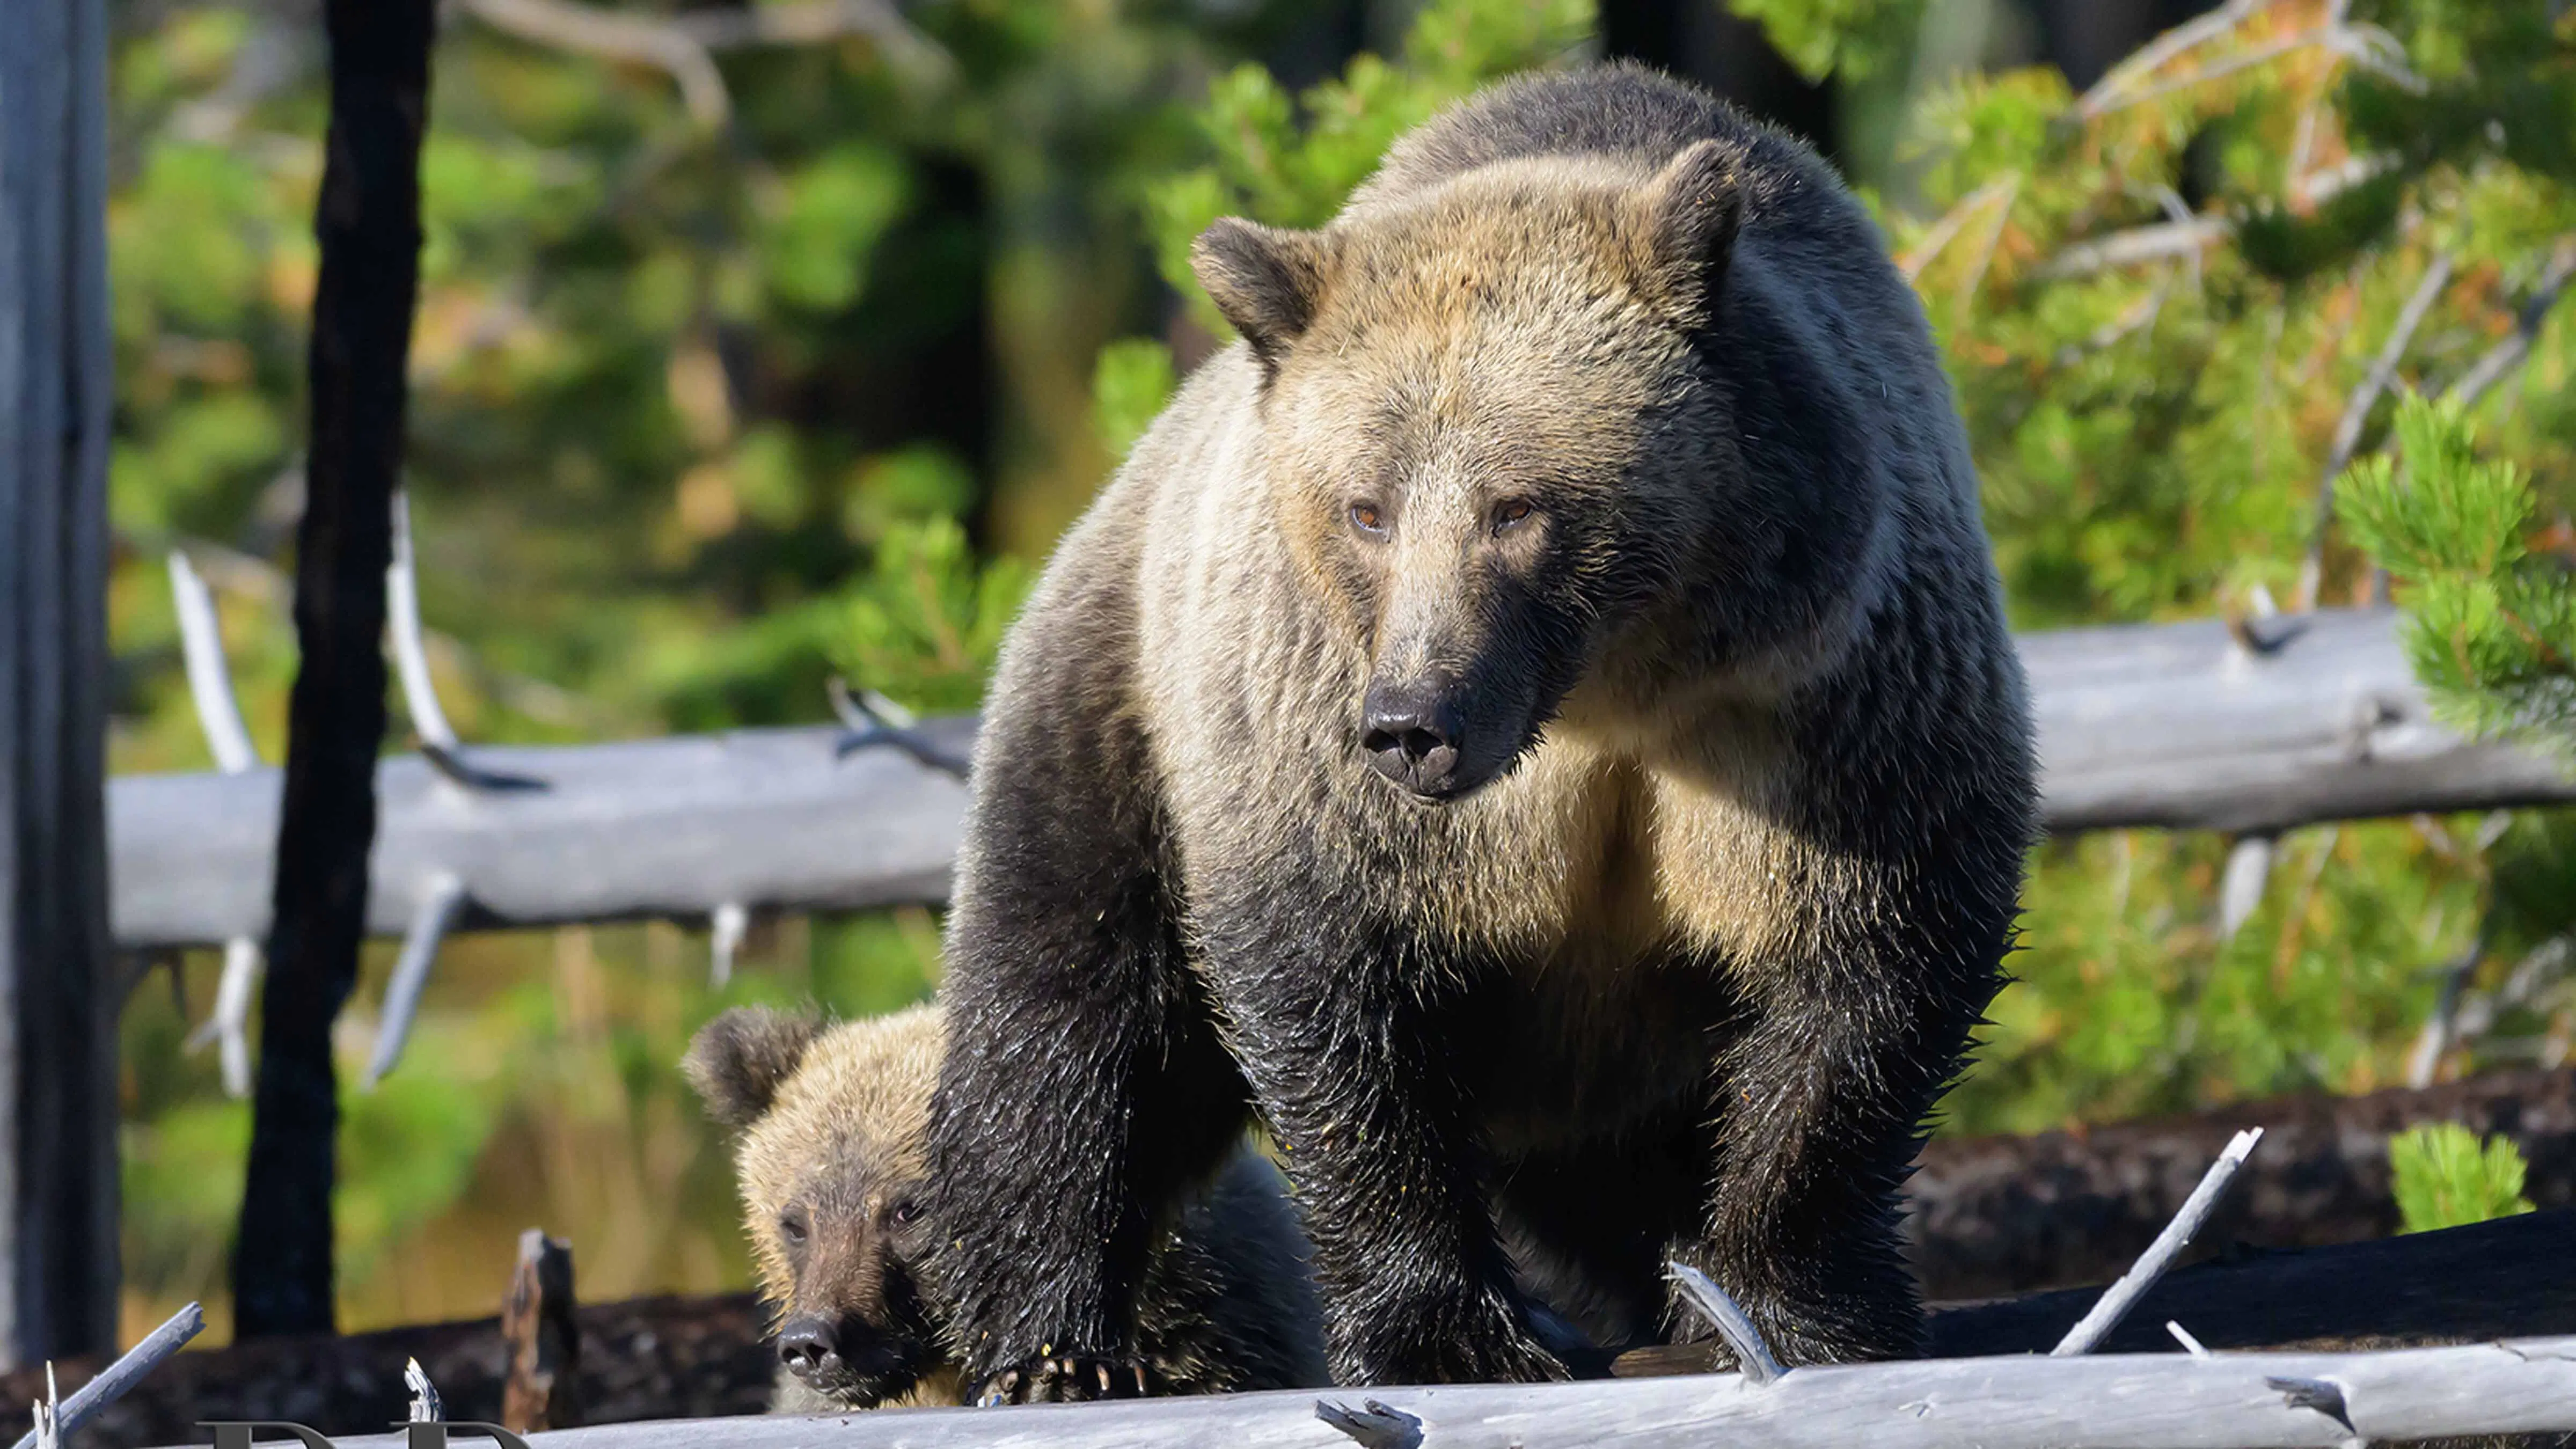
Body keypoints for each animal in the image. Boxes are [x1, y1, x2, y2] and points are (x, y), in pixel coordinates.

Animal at [925, 60, 2037, 1401]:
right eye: (1366, 509)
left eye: (1518, 506)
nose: (1413, 724)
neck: (1604, 694)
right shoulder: (1318, 738)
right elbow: (1339, 995)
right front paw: (1445, 1334)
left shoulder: (1819, 700)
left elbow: (1869, 966)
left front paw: (1784, 1310)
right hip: (1115, 702)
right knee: (1066, 1006)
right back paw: (1049, 1342)